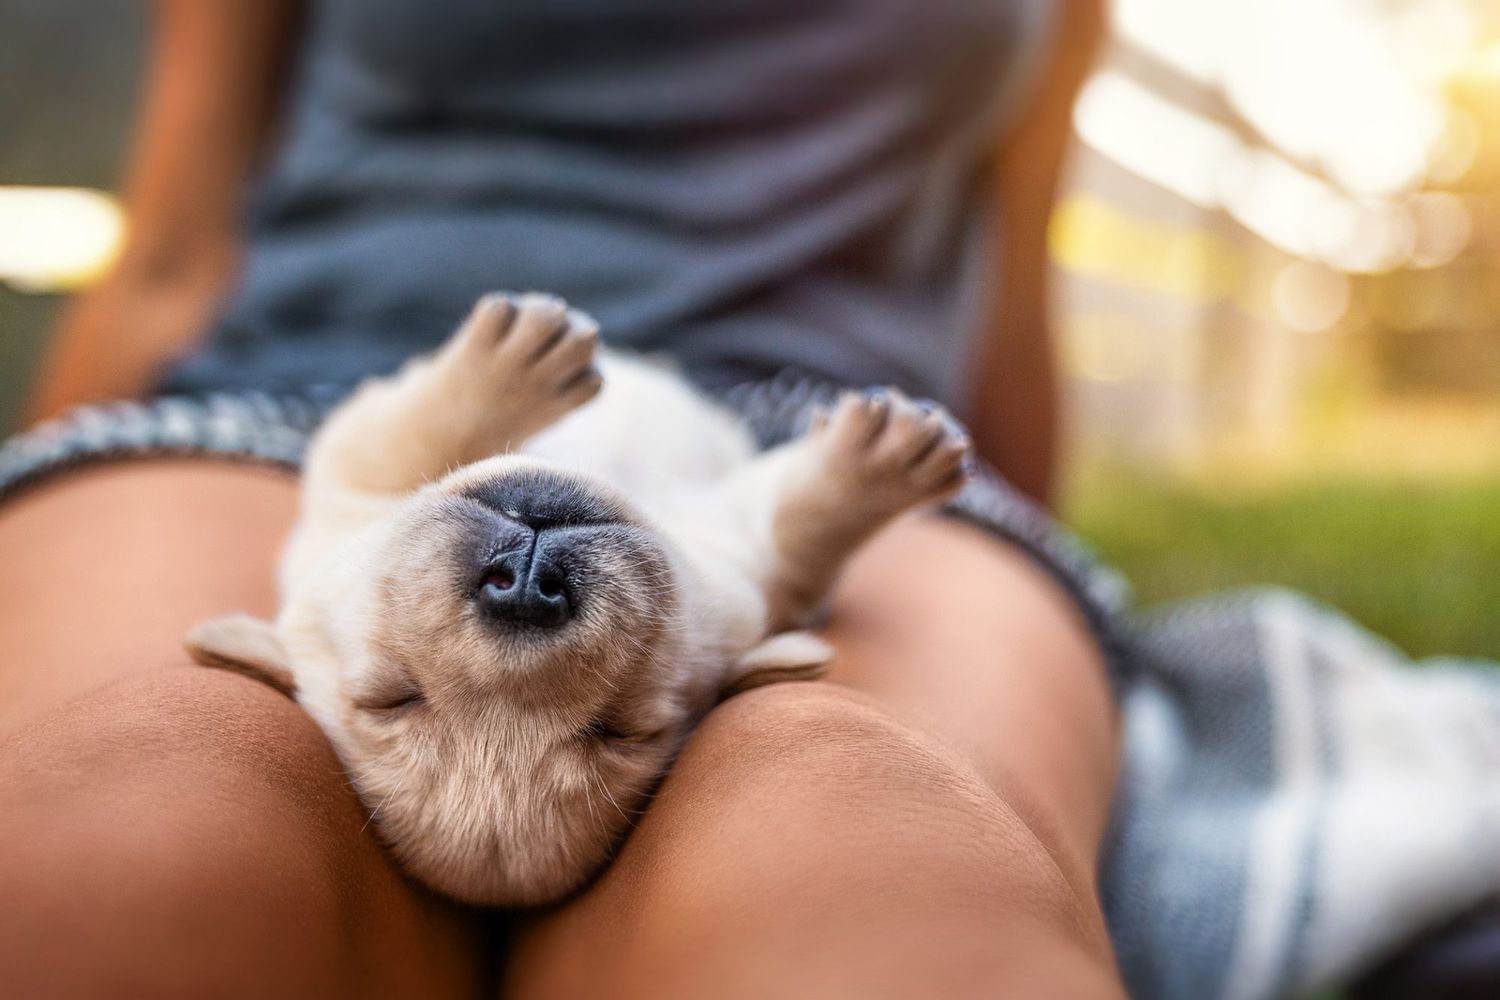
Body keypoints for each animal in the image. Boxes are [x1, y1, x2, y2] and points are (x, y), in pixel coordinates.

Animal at [181, 290, 972, 905]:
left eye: (620, 731)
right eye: (392, 699)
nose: (526, 584)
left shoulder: (739, 571)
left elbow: (797, 532)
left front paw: (882, 461)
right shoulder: (343, 493)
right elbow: (395, 440)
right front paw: (512, 362)